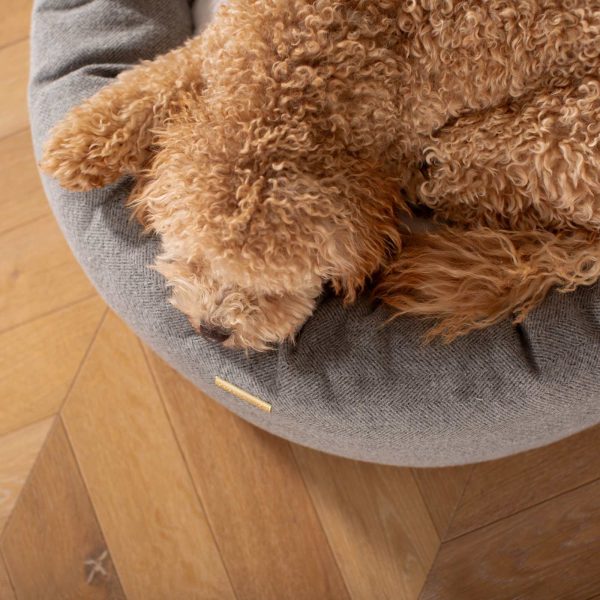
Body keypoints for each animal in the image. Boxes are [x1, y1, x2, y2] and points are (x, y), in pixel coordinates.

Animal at [44, 2, 600, 352]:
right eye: (196, 261)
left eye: (277, 291)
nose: (213, 332)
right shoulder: (223, 42)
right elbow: (162, 76)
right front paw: (80, 142)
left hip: (512, 143)